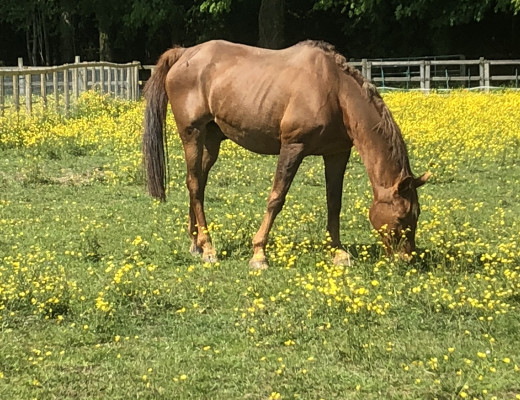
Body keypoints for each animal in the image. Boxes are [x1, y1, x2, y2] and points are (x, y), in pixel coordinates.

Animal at [143, 39, 430, 268]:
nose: (406, 259)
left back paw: (196, 244)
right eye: (402, 216)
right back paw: (208, 248)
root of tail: (184, 53)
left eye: (417, 215)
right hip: (192, 134)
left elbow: (334, 203)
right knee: (194, 184)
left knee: (198, 185)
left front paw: (338, 252)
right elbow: (276, 198)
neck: (334, 90)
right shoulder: (293, 147)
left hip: (212, 140)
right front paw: (259, 254)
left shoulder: (337, 153)